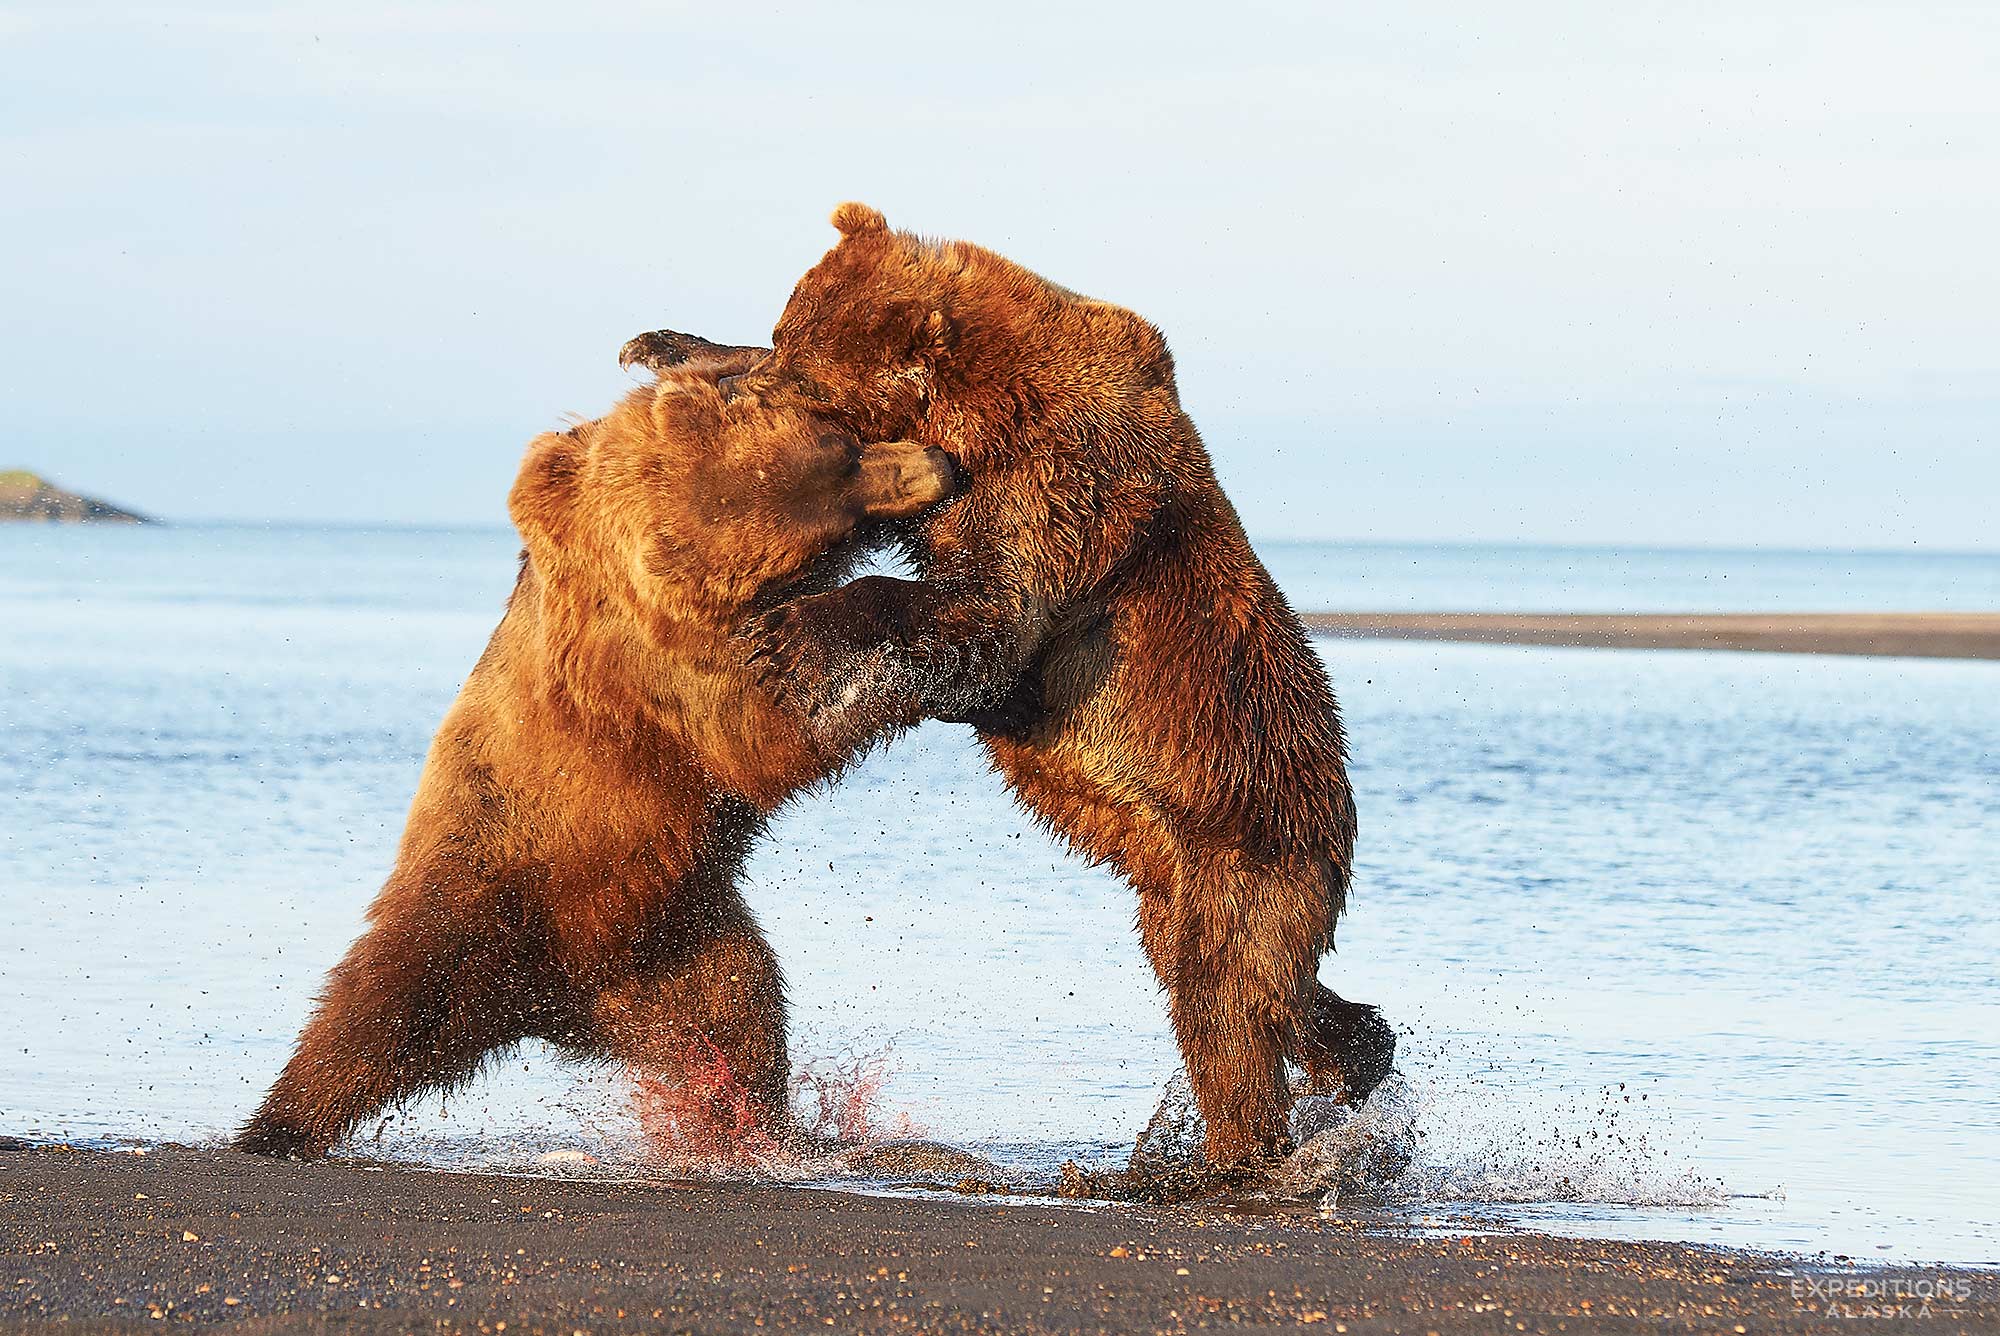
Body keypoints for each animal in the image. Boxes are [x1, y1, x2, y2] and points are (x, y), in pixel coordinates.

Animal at [234, 354, 956, 1159]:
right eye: (846, 470)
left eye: (843, 447)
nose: (939, 465)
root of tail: (553, 1002)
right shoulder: (655, 665)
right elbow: (765, 735)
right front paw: (912, 672)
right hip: (481, 889)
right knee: (370, 1016)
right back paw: (276, 1125)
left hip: (677, 938)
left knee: (738, 1017)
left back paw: (753, 1120)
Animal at [622, 204, 1395, 1171]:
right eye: (784, 338)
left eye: (807, 374)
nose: (755, 399)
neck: (977, 409)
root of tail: (1337, 814)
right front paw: (663, 343)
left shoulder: (1058, 487)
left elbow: (986, 620)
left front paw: (789, 632)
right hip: (1177, 882)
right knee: (1263, 994)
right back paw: (1361, 1054)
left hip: (1242, 838)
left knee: (1228, 1005)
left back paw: (1224, 1156)